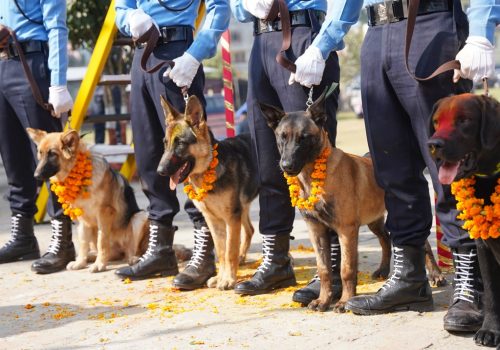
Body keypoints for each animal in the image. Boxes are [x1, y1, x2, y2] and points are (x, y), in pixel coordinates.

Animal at [27, 129, 148, 274]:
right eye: (40, 153)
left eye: (53, 154)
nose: (36, 176)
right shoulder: (83, 220)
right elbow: (83, 242)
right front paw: (80, 262)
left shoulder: (104, 214)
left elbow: (102, 241)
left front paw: (99, 264)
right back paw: (91, 257)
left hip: (139, 217)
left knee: (134, 250)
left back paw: (133, 259)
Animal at [156, 95, 258, 290]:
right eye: (165, 143)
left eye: (180, 143)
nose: (160, 171)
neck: (209, 166)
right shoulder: (213, 221)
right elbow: (221, 251)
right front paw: (221, 277)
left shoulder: (231, 219)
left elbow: (230, 251)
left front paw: (229, 280)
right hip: (242, 210)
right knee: (250, 229)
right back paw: (242, 257)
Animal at [428, 93, 500, 348]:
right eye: (436, 122)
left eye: (464, 120)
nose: (433, 144)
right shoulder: (484, 247)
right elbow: (492, 294)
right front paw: (491, 330)